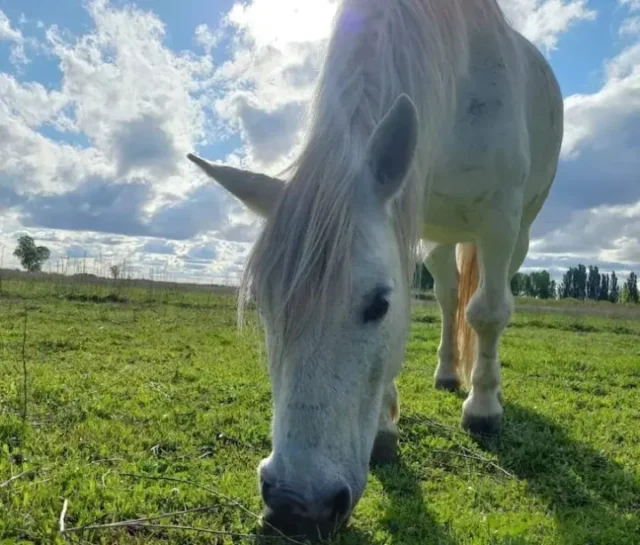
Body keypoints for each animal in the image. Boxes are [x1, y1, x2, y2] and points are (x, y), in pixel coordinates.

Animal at [188, 0, 564, 536]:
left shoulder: (500, 215)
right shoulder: (403, 215)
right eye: (262, 305)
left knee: (482, 302)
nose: (295, 506)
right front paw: (386, 426)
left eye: (378, 305)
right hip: (435, 237)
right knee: (449, 297)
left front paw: (483, 410)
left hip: (518, 230)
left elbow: (488, 313)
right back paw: (447, 372)